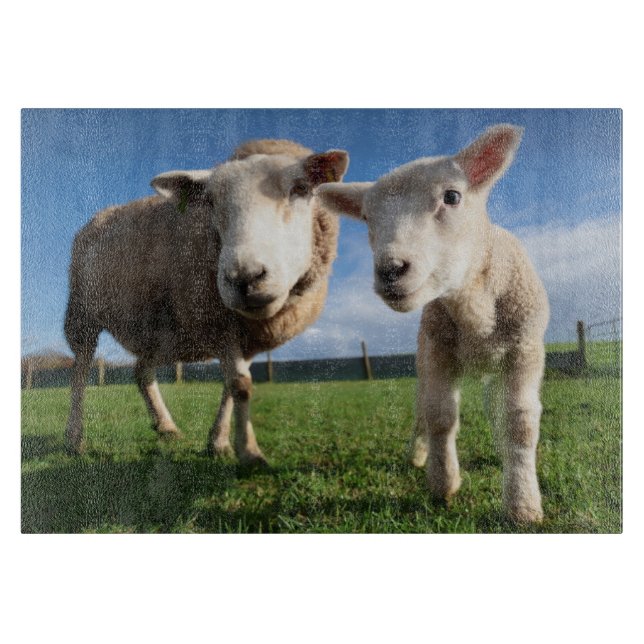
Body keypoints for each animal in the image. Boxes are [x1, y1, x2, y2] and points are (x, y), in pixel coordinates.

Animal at [64, 139, 349, 466]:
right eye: (210, 201)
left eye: (300, 188)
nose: (244, 278)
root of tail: (99, 216)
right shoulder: (217, 322)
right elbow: (239, 386)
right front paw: (249, 452)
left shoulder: (244, 334)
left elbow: (232, 385)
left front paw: (219, 442)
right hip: (82, 312)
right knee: (81, 369)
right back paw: (74, 438)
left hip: (159, 328)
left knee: (141, 371)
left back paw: (166, 426)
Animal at [316, 125, 549, 523]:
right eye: (367, 218)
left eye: (452, 196)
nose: (391, 270)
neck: (473, 307)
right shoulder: (438, 352)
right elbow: (439, 415)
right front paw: (443, 483)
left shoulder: (525, 350)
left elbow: (519, 421)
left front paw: (523, 504)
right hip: (424, 356)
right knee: (422, 407)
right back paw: (418, 454)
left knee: (495, 407)